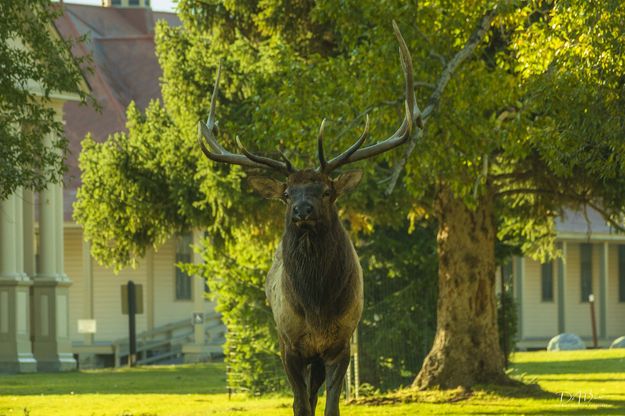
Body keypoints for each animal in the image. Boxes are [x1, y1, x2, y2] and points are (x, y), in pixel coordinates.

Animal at [195, 22, 420, 416]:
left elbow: (330, 406)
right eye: (287, 194)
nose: (302, 210)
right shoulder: (289, 345)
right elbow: (300, 404)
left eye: (327, 191)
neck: (316, 309)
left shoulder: (341, 345)